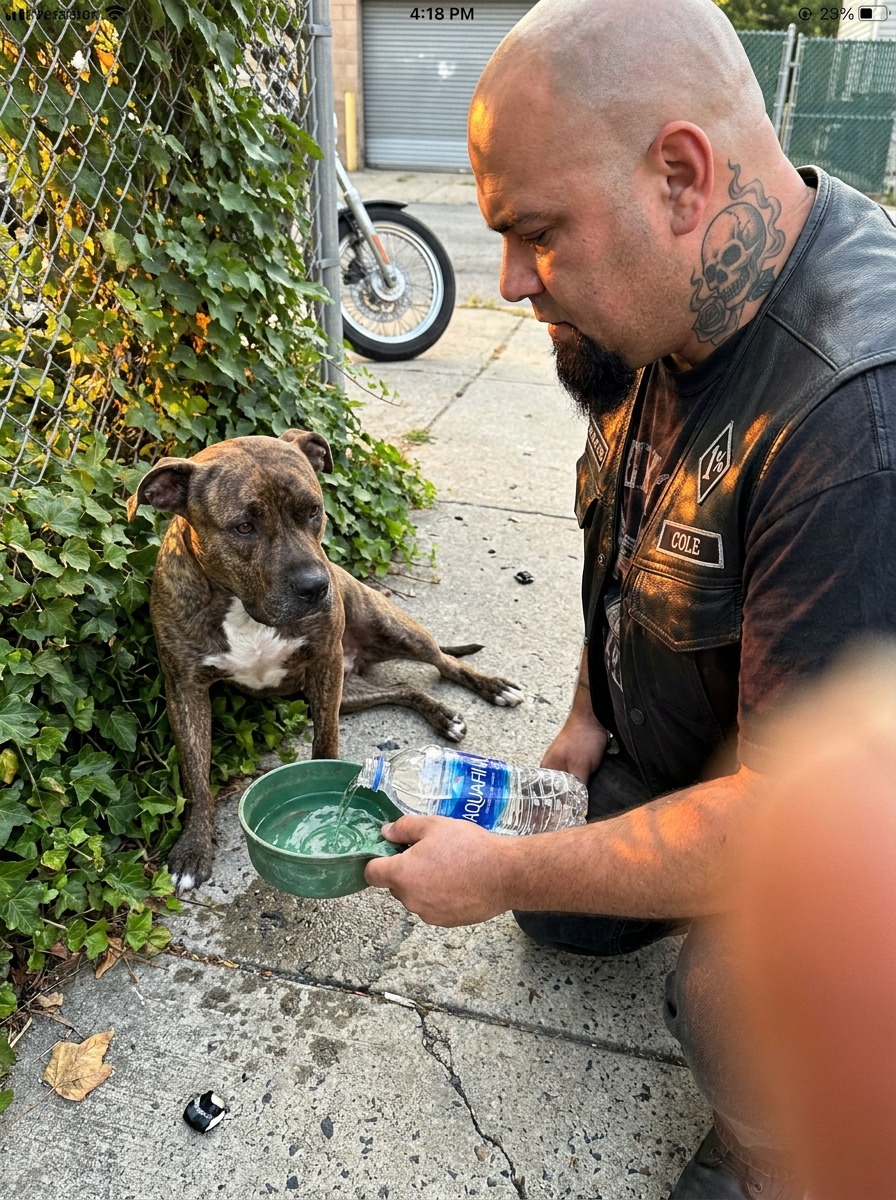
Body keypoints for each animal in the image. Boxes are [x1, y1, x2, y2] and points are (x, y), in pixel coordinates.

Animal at [128, 429, 523, 892]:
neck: (242, 608)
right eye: (243, 527)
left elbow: (326, 739)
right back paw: (443, 715)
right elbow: (195, 775)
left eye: (313, 511)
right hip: (349, 690)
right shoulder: (185, 689)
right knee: (403, 687)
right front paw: (193, 848)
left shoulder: (325, 662)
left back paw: (491, 690)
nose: (316, 586)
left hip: (389, 630)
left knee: (445, 661)